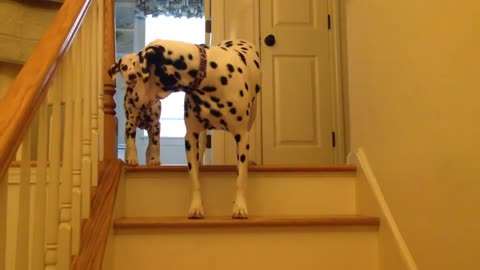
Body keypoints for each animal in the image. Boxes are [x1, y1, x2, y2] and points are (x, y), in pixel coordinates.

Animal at [109, 38, 262, 219]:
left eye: (139, 73)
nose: (134, 96)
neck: (210, 78)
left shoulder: (241, 135)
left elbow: (241, 179)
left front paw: (240, 206)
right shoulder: (191, 137)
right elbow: (194, 178)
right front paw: (196, 206)